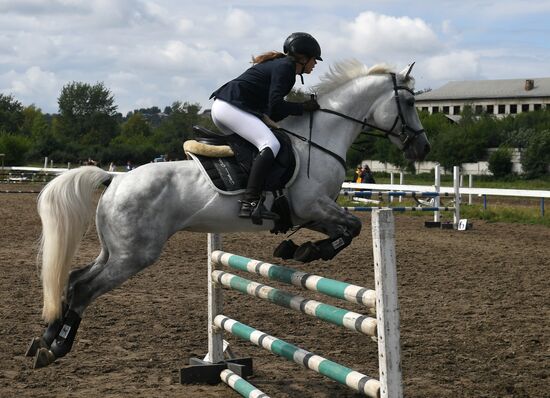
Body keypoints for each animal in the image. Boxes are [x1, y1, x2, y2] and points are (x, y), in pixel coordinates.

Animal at [27, 60, 432, 368]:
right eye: (409, 103)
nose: (423, 148)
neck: (321, 139)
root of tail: (116, 177)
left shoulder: (308, 214)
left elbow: (347, 229)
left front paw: (295, 249)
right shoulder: (313, 205)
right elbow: (354, 226)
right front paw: (307, 251)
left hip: (114, 250)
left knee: (74, 279)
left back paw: (45, 339)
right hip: (134, 255)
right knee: (84, 288)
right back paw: (57, 346)